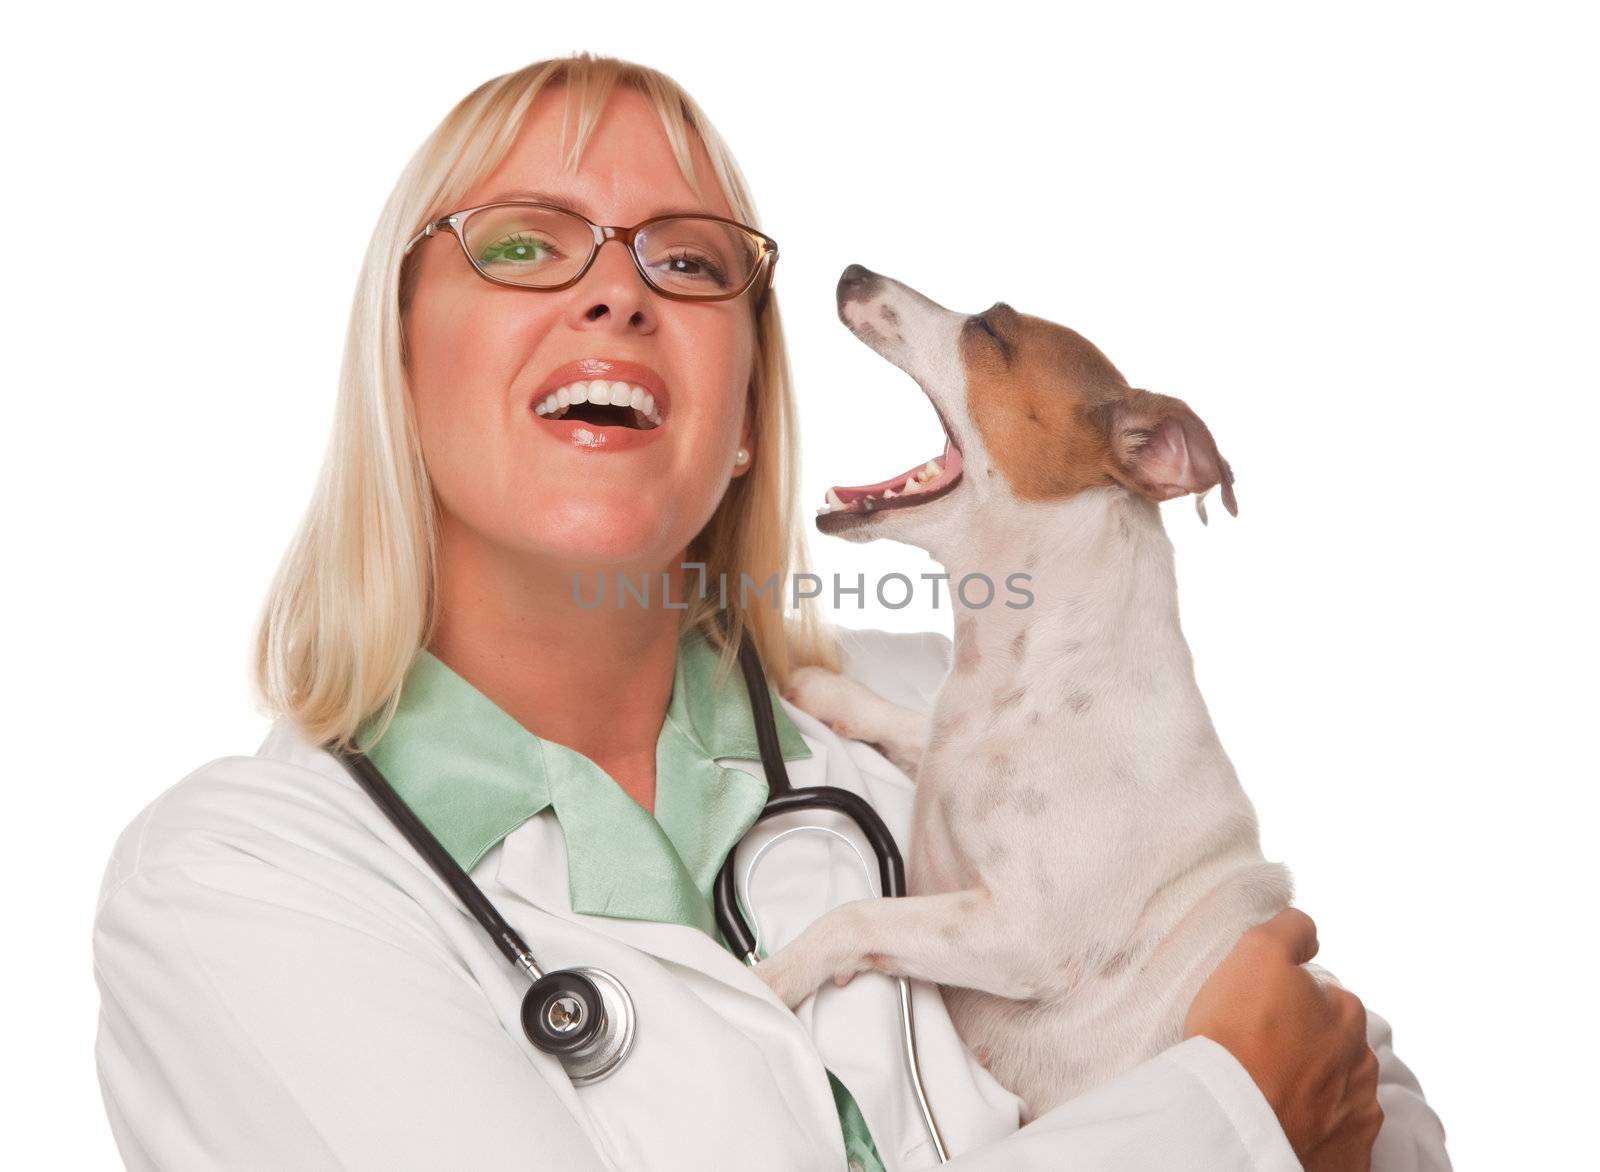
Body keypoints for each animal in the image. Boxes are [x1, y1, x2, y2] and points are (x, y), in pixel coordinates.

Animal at [755, 260, 1292, 1120]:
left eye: (991, 329)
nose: (852, 271)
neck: (1027, 671)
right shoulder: (942, 748)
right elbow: (903, 720)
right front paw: (823, 689)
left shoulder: (1017, 936)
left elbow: (858, 913)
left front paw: (770, 978)